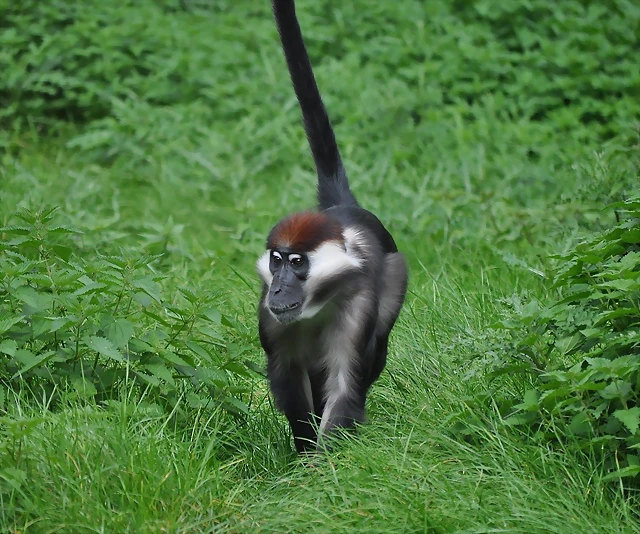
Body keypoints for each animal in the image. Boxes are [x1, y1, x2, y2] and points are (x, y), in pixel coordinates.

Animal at [258, 0, 408, 456]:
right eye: (276, 261)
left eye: (297, 263)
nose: (279, 289)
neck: (314, 305)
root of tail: (344, 207)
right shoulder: (270, 318)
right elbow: (289, 384)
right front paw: (305, 456)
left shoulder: (356, 306)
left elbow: (346, 386)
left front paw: (326, 468)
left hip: (394, 279)